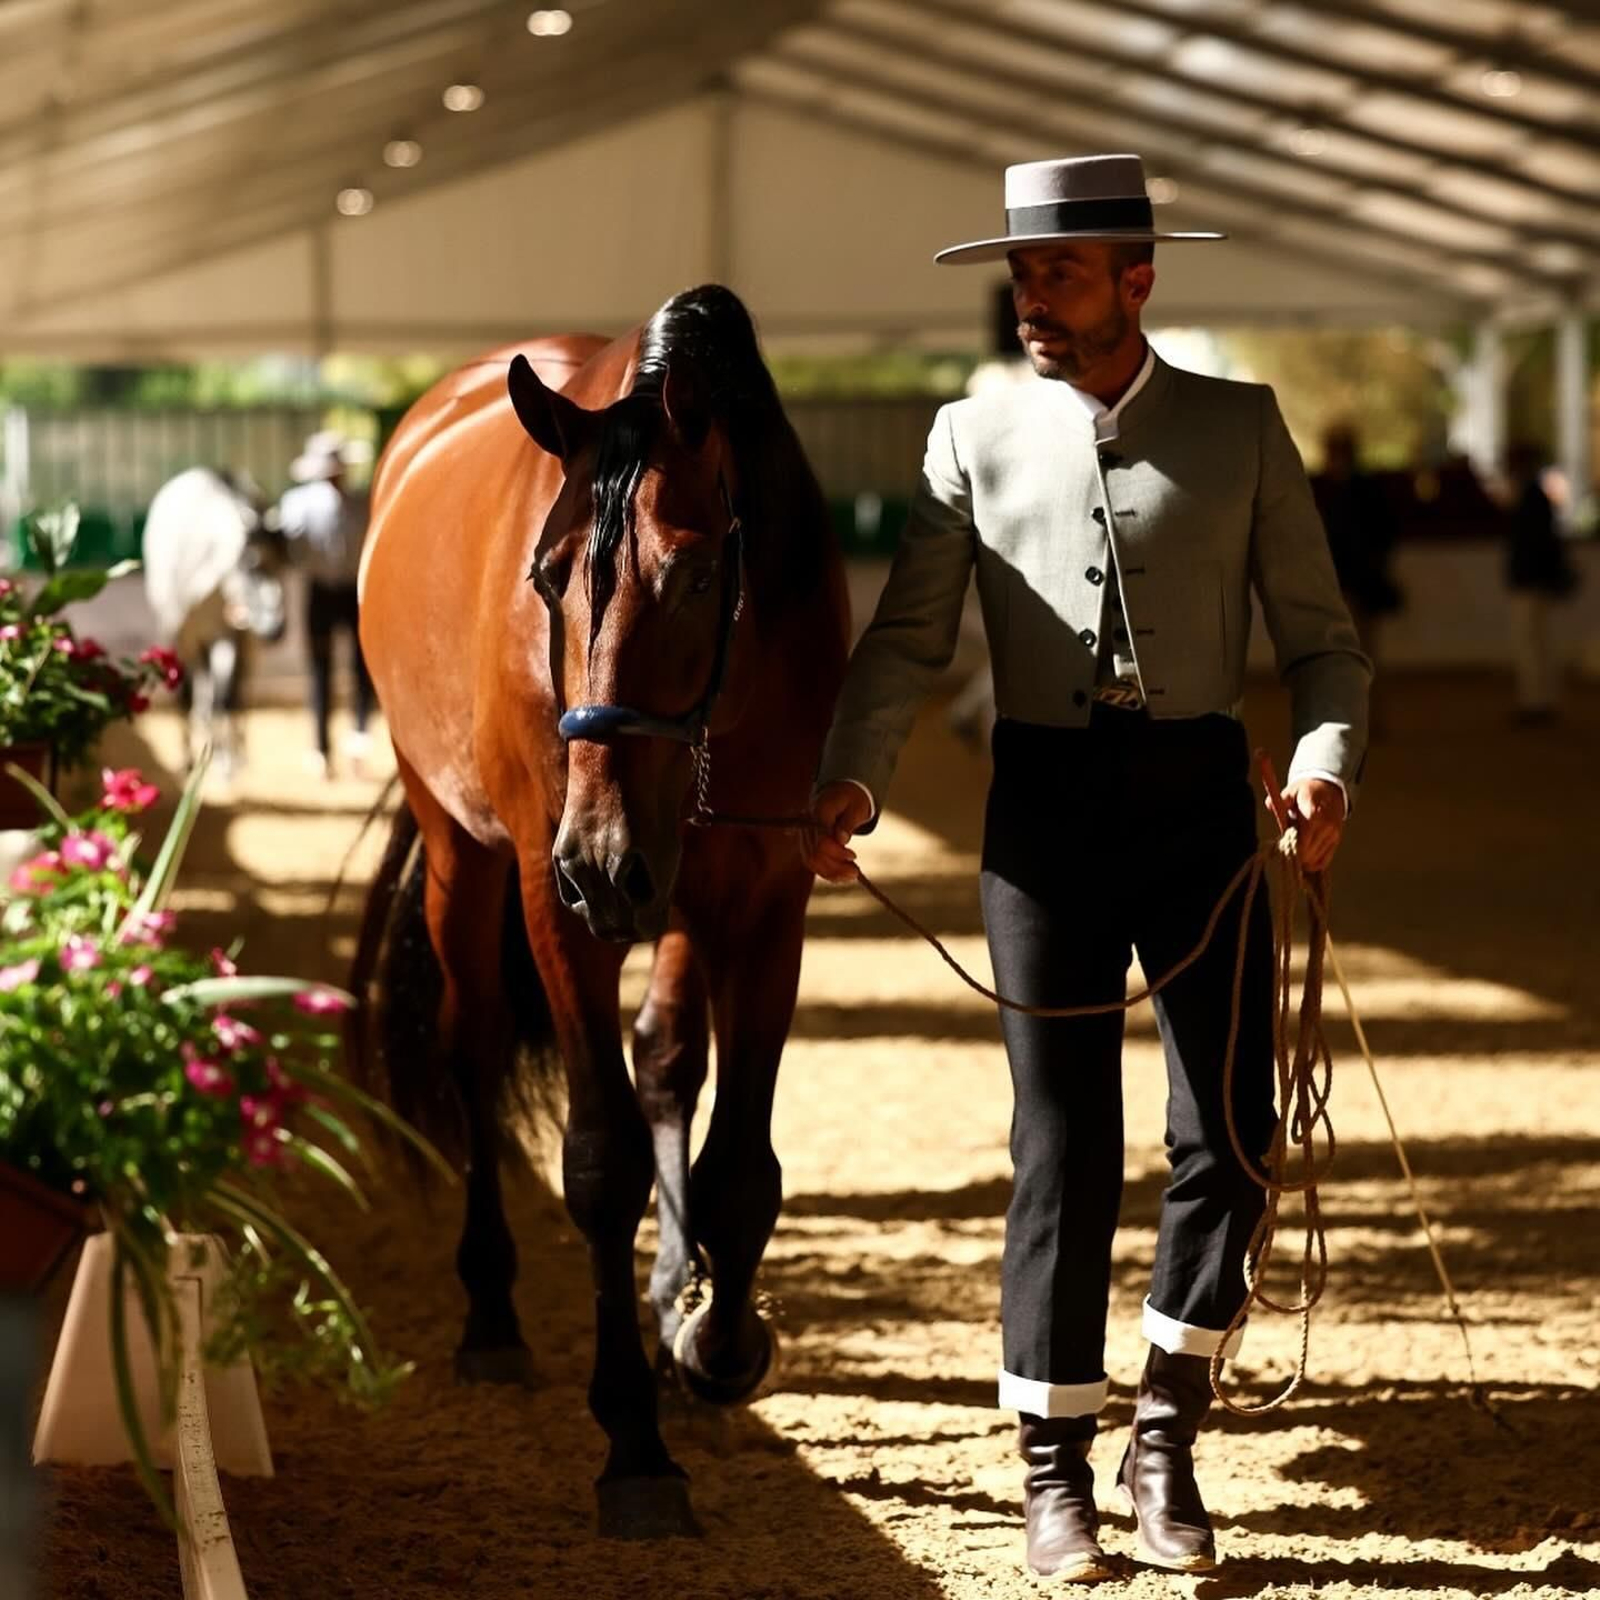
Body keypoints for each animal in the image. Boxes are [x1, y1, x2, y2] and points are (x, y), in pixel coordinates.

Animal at [141, 466, 288, 775]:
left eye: (284, 565)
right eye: (250, 564)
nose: (275, 629)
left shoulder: (229, 638)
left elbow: (225, 698)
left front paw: (223, 760)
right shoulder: (177, 637)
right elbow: (187, 697)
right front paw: (189, 761)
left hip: (241, 649)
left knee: (236, 692)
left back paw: (236, 751)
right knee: (201, 695)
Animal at [351, 285, 850, 1539]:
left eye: (693, 574)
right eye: (546, 576)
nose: (604, 857)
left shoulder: (762, 896)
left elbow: (735, 1160)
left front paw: (716, 1339)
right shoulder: (557, 899)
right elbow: (599, 1161)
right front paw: (632, 1439)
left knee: (667, 1056)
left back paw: (679, 1291)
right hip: (464, 853)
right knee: (473, 1044)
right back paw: (491, 1313)